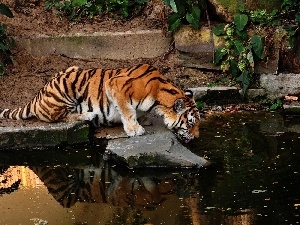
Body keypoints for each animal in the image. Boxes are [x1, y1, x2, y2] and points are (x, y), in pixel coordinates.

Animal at [1, 63, 202, 142]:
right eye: (190, 124)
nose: (197, 137)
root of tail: (37, 96)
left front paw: (143, 120)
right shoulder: (116, 85)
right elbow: (128, 111)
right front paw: (134, 129)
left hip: (71, 69)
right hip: (65, 88)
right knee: (57, 117)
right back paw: (88, 115)